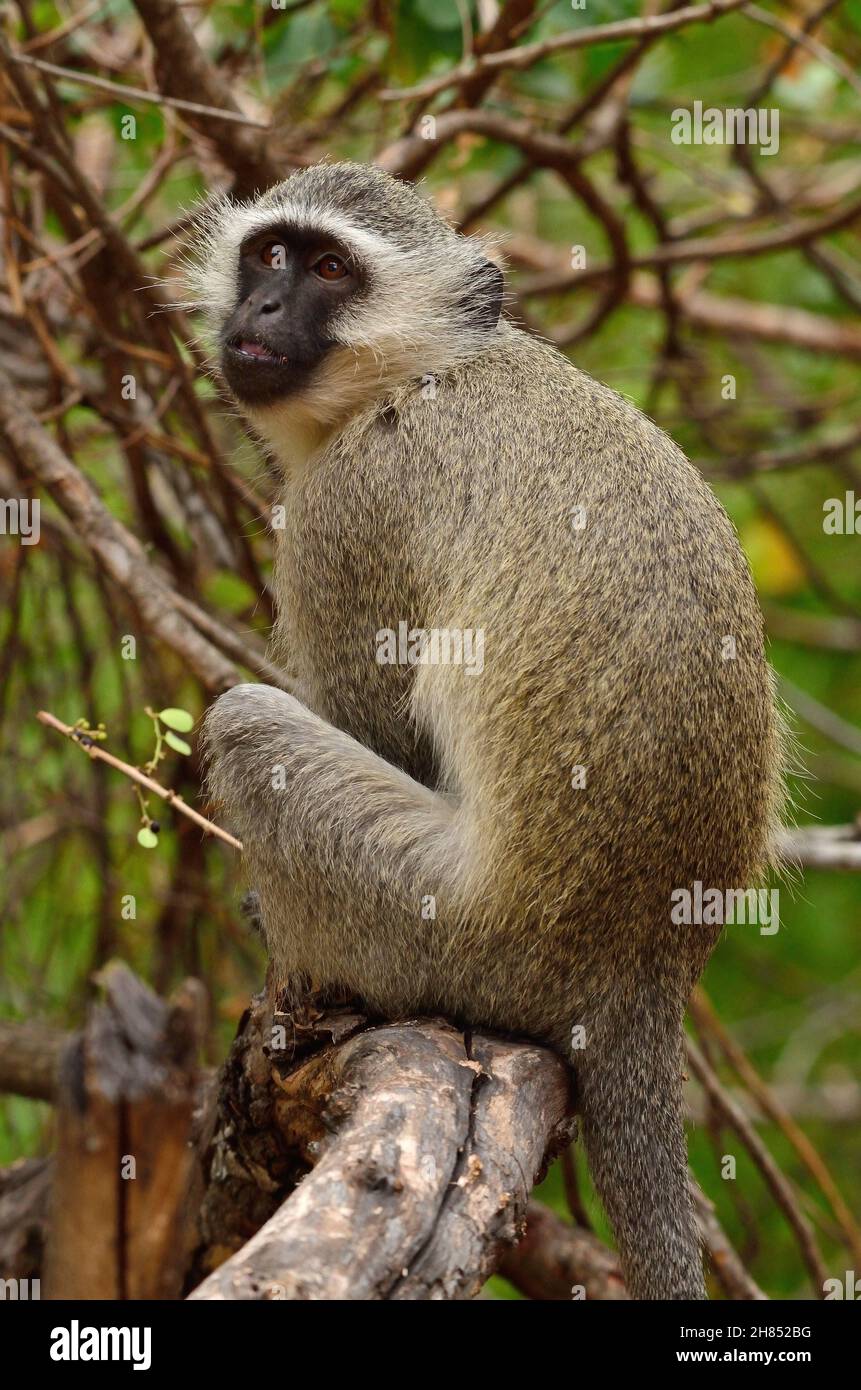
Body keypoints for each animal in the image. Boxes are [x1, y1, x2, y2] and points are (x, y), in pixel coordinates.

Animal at [191, 165, 784, 1301]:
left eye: (329, 268)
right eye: (269, 255)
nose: (264, 308)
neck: (426, 373)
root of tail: (642, 971)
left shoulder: (351, 508)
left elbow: (385, 730)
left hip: (450, 931)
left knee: (247, 723)